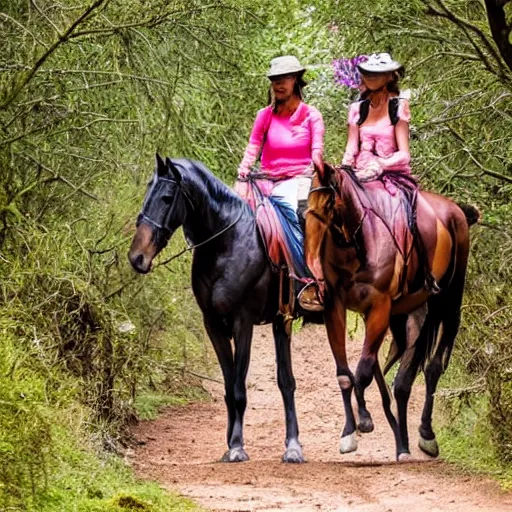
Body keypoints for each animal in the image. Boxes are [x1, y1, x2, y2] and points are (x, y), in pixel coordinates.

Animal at [129, 156, 304, 464]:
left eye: (167, 197)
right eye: (148, 191)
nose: (137, 257)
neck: (227, 244)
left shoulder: (243, 322)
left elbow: (238, 388)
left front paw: (237, 447)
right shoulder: (213, 325)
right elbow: (228, 386)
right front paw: (230, 442)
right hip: (281, 322)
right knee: (286, 381)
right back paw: (292, 445)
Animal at [304, 164, 480, 460]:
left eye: (328, 203)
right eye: (305, 202)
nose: (309, 253)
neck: (355, 245)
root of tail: (456, 210)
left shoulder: (379, 309)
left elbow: (364, 372)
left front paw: (364, 420)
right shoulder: (337, 309)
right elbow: (347, 375)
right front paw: (349, 432)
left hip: (447, 302)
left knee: (432, 367)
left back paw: (426, 435)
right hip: (405, 317)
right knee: (400, 381)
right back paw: (403, 441)